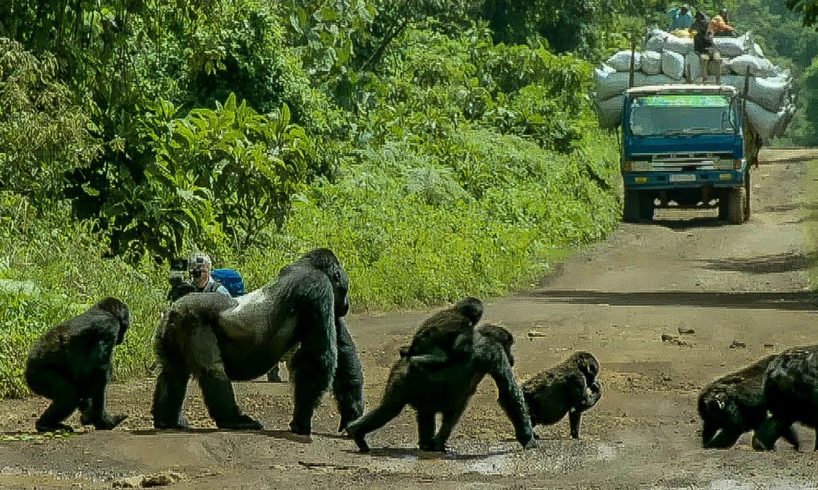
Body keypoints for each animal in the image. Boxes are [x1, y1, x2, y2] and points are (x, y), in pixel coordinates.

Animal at [25, 297, 130, 433]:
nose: (122, 338)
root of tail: (26, 370)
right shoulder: (109, 326)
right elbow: (98, 369)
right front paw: (101, 419)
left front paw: (90, 415)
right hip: (39, 376)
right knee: (69, 393)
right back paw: (45, 425)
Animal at [151, 248, 365, 435]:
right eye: (344, 288)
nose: (346, 305)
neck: (307, 265)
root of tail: (172, 310)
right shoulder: (318, 288)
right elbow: (317, 358)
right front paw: (301, 419)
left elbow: (342, 355)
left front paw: (352, 415)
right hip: (191, 319)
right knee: (212, 370)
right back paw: (233, 420)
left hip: (172, 328)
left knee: (173, 371)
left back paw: (167, 420)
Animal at [346, 323, 537, 453]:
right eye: (509, 345)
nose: (512, 356)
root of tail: (405, 357)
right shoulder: (495, 352)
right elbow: (508, 392)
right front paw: (528, 439)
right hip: (403, 378)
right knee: (390, 409)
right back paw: (357, 432)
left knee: (427, 412)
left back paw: (428, 444)